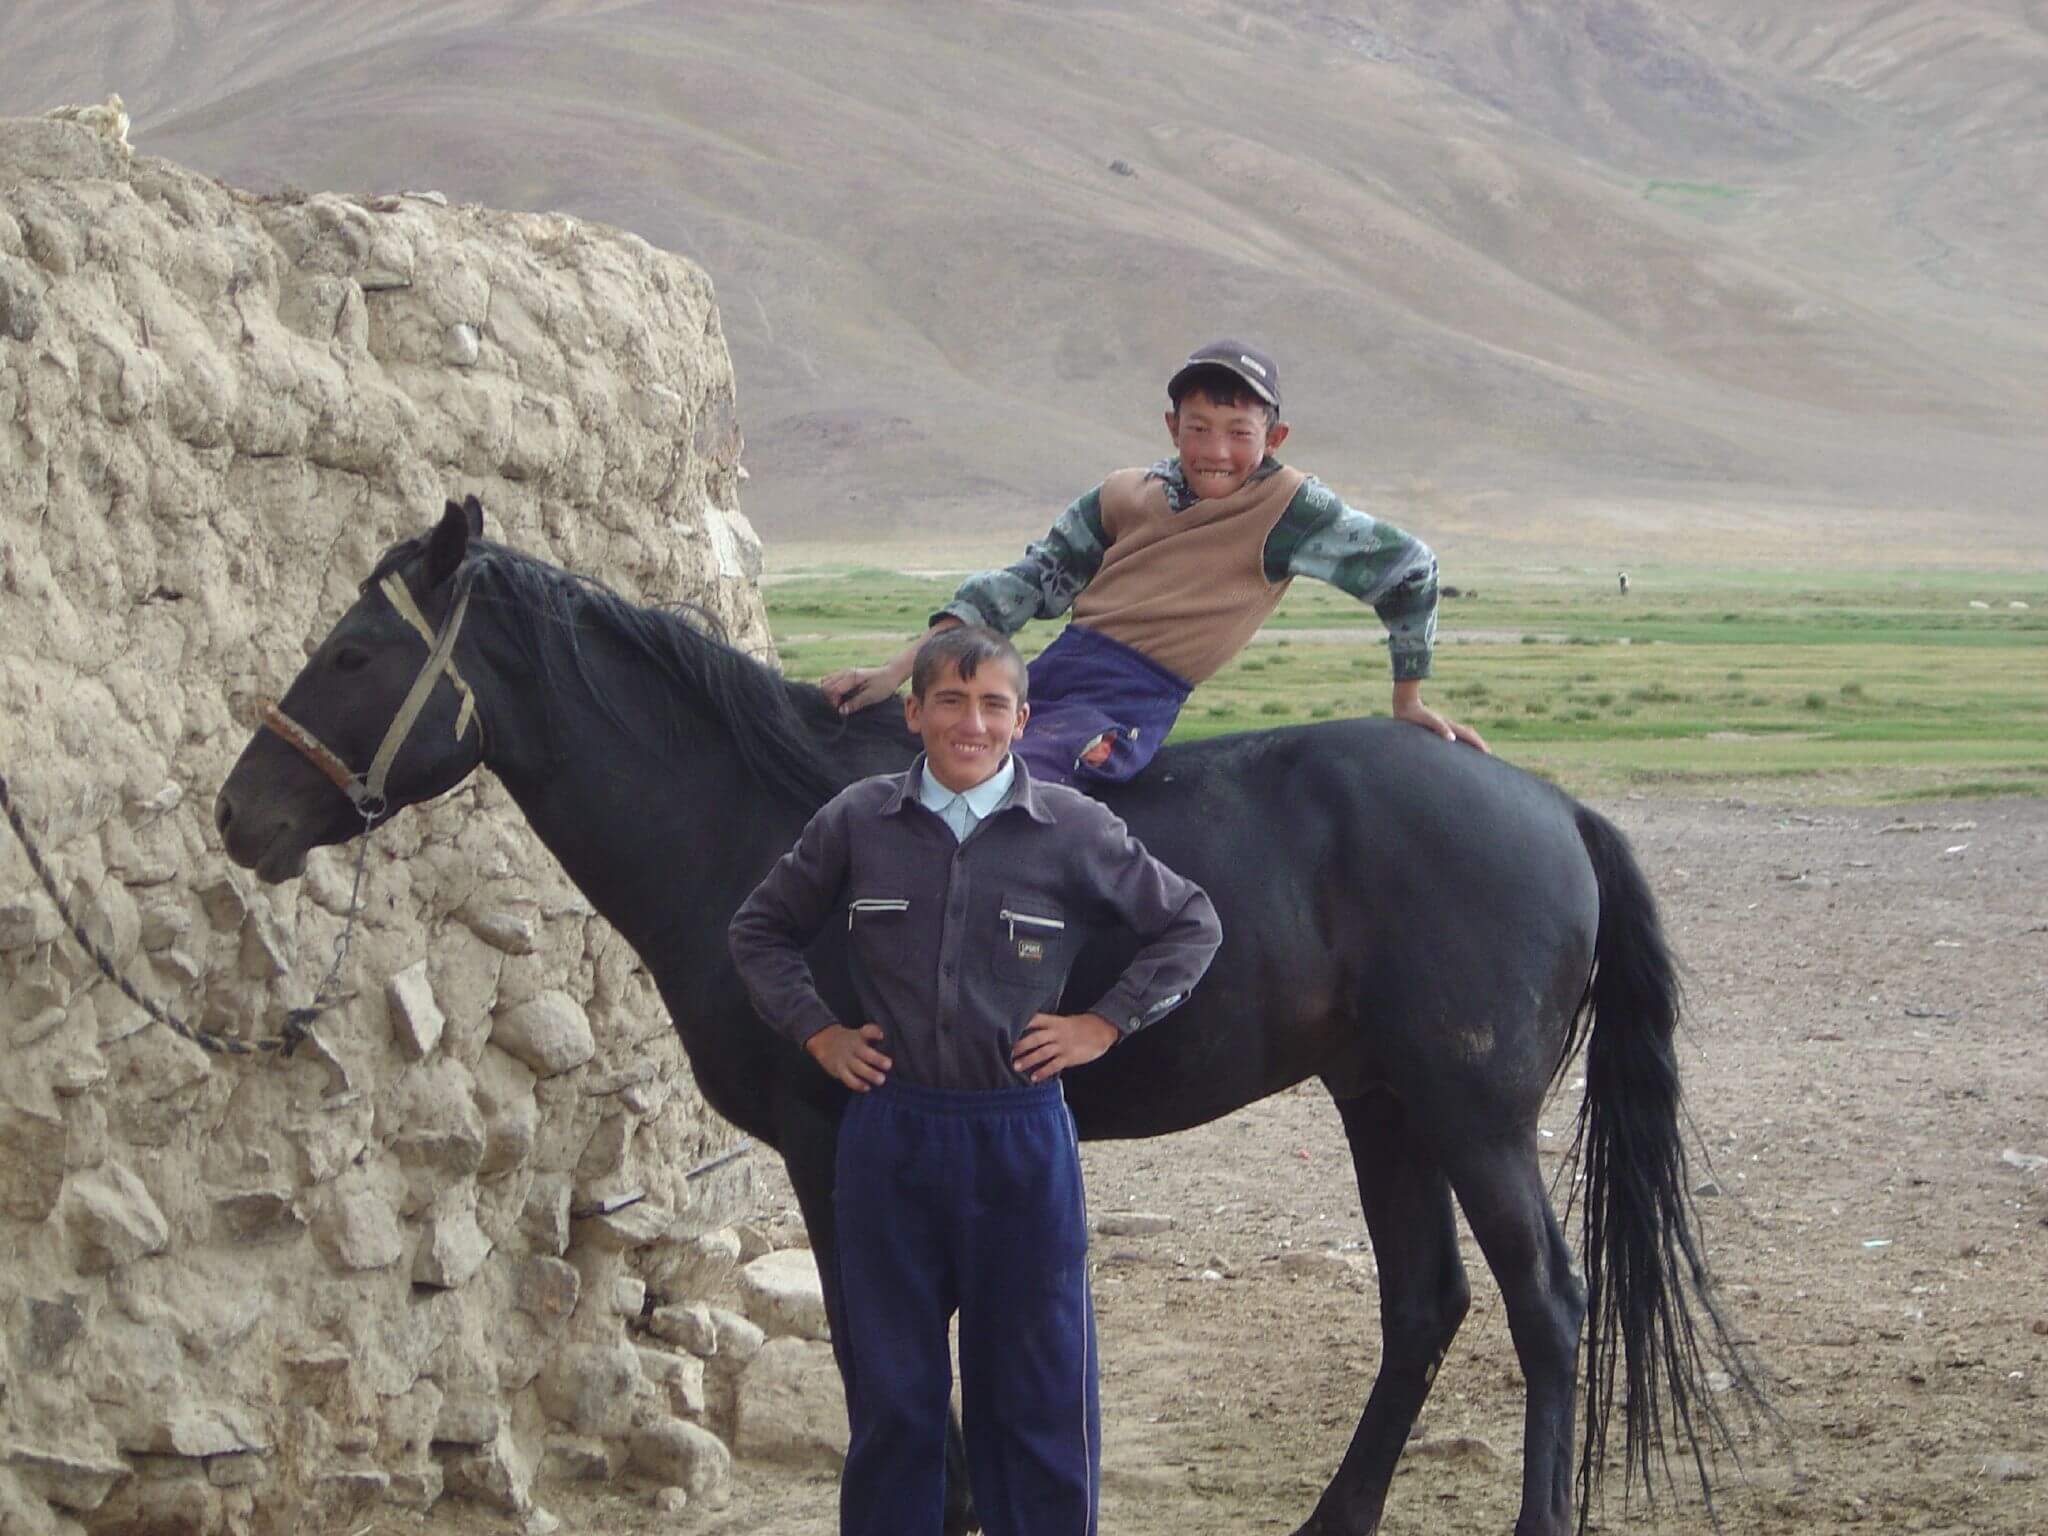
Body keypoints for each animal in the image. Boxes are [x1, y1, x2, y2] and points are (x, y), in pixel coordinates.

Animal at [216, 498, 1748, 1535]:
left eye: (353, 654)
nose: (241, 817)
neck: (757, 820)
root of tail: (1548, 805)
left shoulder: (831, 1139)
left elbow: (878, 1340)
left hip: (1471, 1117)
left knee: (1545, 1308)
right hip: (1382, 1107)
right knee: (1424, 1304)